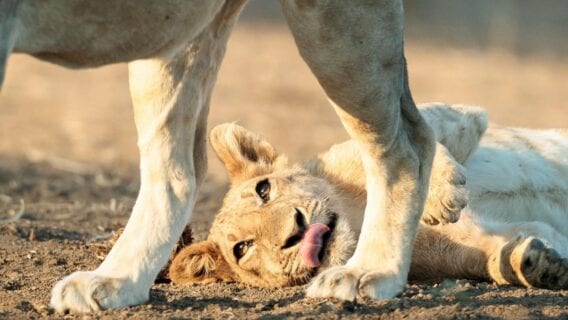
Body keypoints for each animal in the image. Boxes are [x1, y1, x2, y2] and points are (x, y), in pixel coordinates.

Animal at [0, 0, 438, 312]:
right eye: (242, 247)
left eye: (265, 190)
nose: (297, 232)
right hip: (179, 35)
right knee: (178, 173)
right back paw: (117, 281)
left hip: (336, 24)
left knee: (406, 144)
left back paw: (369, 271)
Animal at [170, 104, 568, 294]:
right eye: (242, 248)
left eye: (264, 190)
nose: (296, 232)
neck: (358, 216)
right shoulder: (446, 251)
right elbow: (490, 255)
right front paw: (537, 265)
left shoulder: (460, 117)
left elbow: (415, 139)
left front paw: (443, 196)